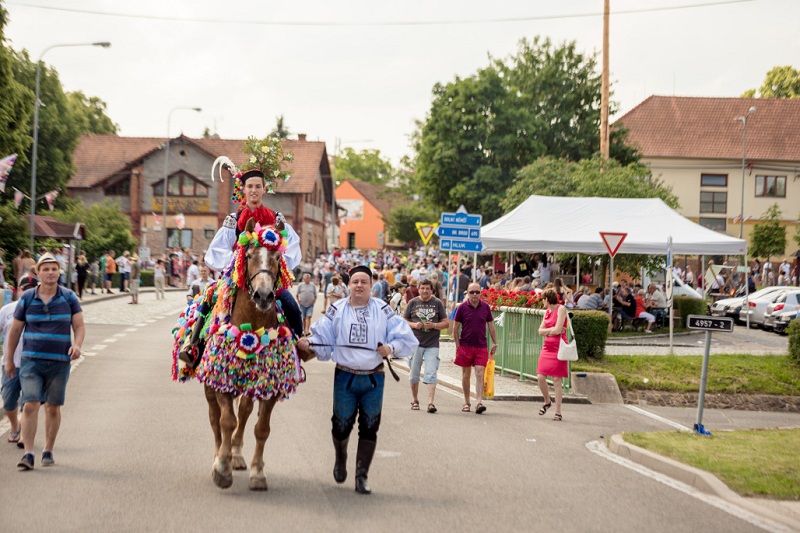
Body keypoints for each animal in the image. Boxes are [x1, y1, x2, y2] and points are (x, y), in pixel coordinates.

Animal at [172, 217, 312, 490]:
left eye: (277, 257)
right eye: (248, 255)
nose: (264, 295)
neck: (252, 326)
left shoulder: (270, 386)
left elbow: (261, 428)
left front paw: (257, 473)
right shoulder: (220, 381)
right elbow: (227, 421)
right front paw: (221, 468)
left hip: (249, 384)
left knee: (245, 413)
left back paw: (236, 454)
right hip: (210, 384)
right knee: (215, 418)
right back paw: (219, 455)